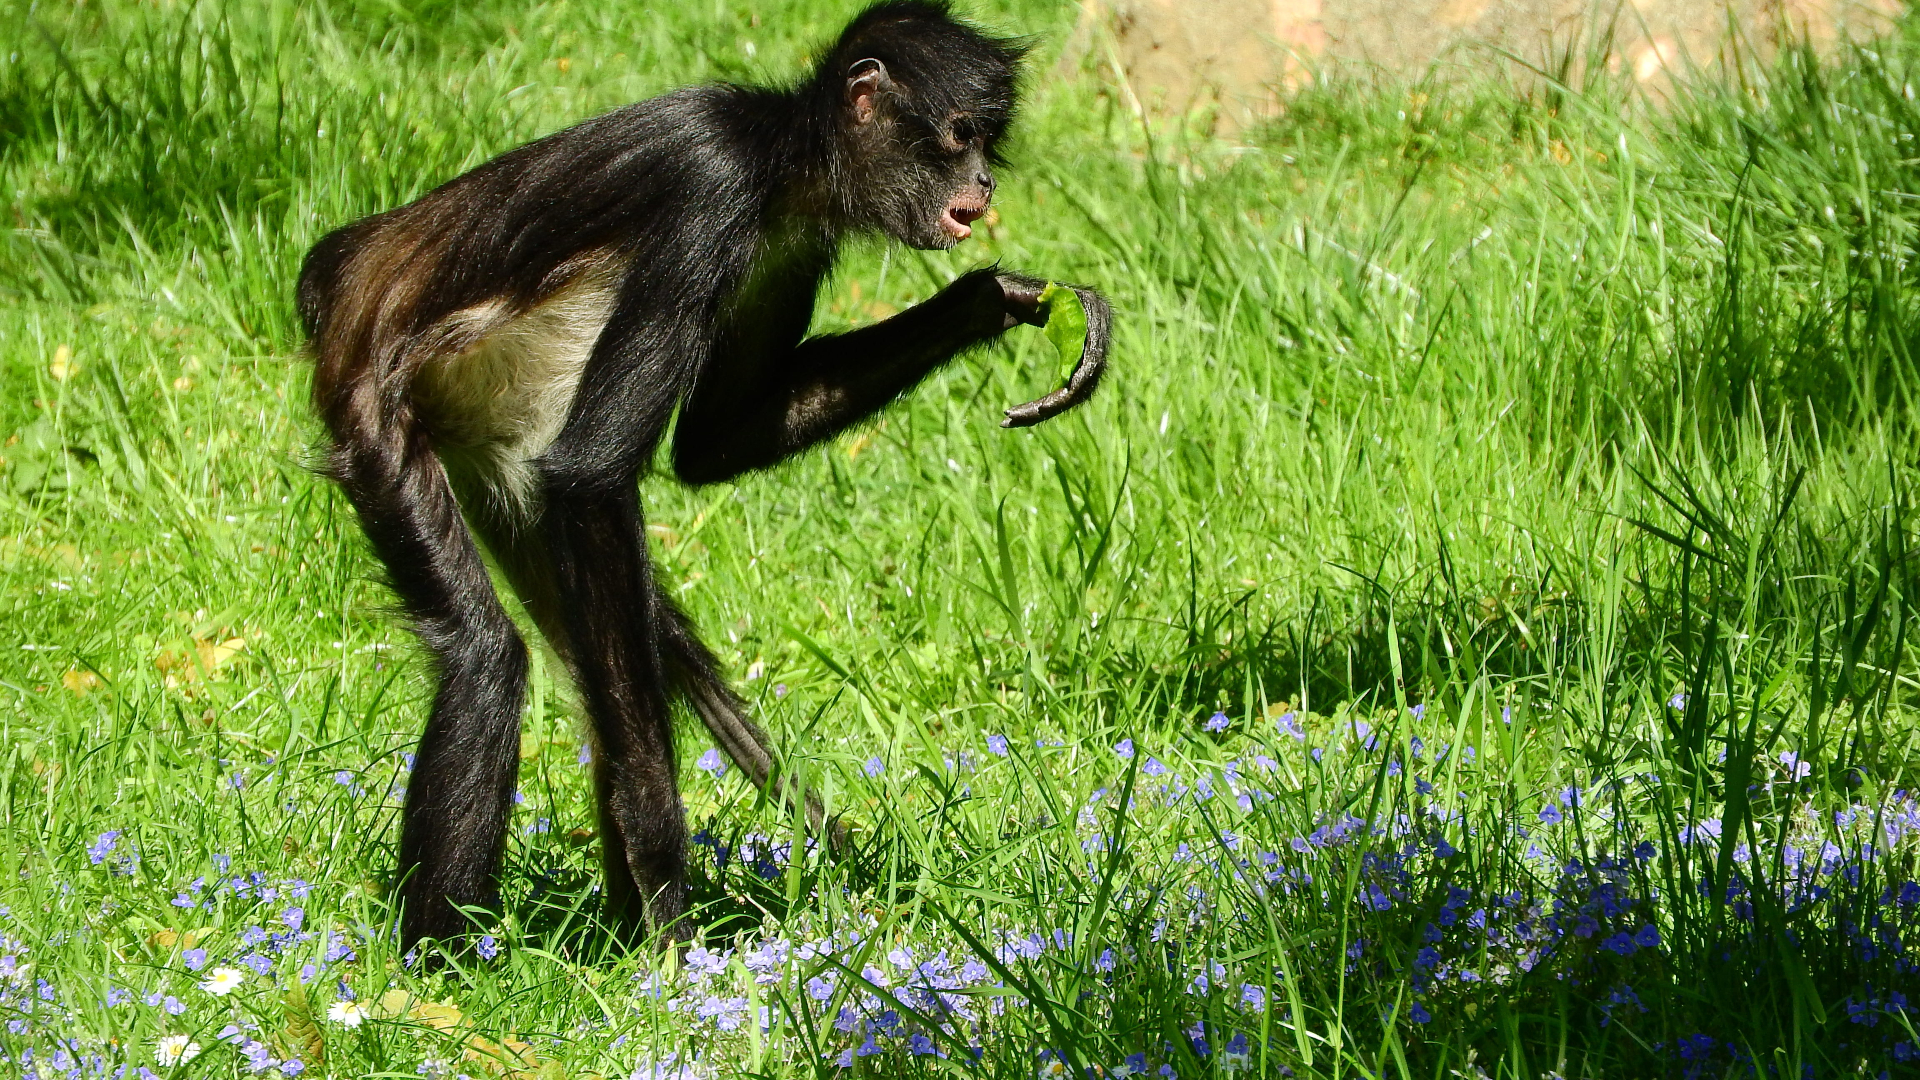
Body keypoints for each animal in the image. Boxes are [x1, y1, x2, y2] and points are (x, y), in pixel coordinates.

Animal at [295, 0, 1110, 949]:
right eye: (959, 135)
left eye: (990, 142)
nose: (983, 185)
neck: (781, 159)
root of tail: (348, 269)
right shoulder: (710, 188)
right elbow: (592, 475)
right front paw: (661, 859)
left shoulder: (794, 239)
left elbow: (713, 446)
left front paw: (992, 299)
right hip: (371, 411)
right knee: (487, 658)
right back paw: (446, 971)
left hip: (503, 471)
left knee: (609, 664)